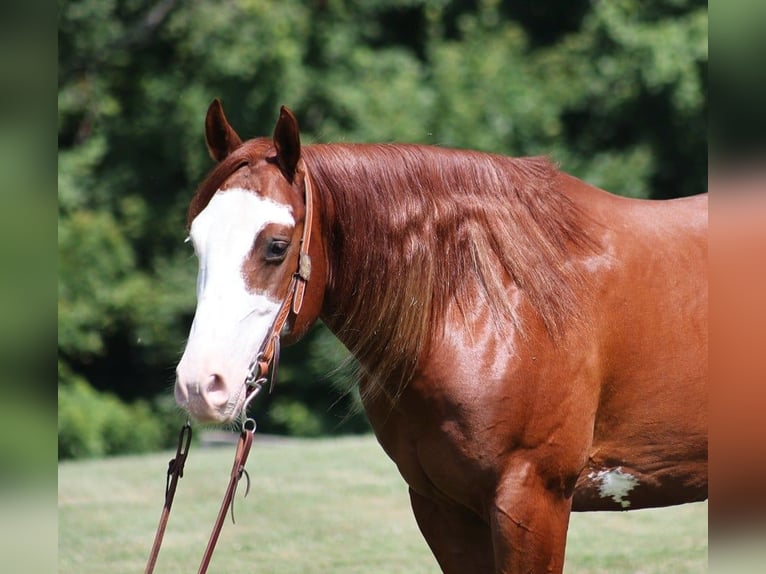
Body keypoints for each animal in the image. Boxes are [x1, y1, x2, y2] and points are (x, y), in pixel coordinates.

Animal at [174, 101, 708, 572]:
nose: (201, 385)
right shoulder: (441, 507)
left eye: (276, 245)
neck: (483, 303)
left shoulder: (533, 499)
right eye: (195, 243)